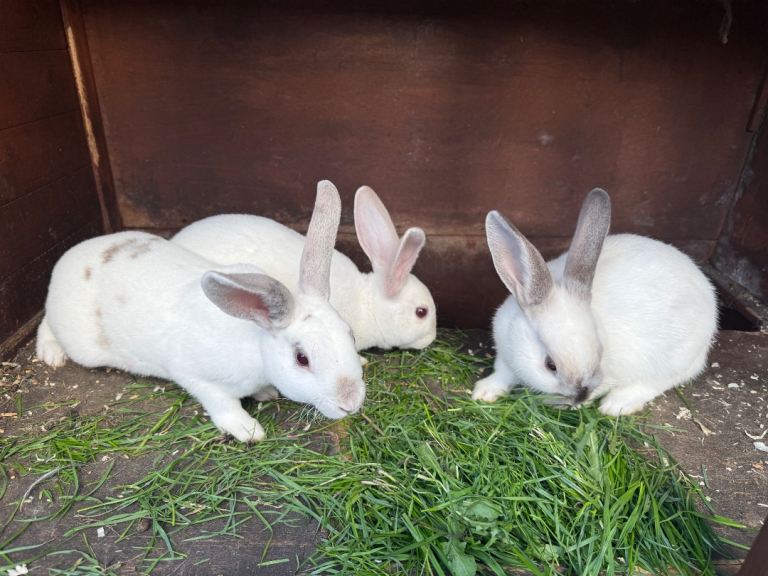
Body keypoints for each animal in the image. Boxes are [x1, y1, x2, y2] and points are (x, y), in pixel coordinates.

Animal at [35, 181, 365, 442]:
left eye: (350, 335)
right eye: (302, 358)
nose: (351, 403)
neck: (255, 344)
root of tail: (67, 259)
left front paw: (266, 393)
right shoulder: (198, 379)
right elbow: (223, 406)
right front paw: (248, 431)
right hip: (80, 343)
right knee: (46, 324)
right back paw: (51, 355)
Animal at [471, 188, 717, 416]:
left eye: (601, 352)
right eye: (550, 365)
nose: (581, 396)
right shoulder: (504, 354)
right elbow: (502, 374)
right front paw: (483, 393)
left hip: (674, 358)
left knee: (658, 382)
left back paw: (616, 405)